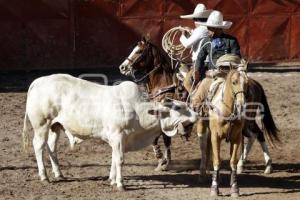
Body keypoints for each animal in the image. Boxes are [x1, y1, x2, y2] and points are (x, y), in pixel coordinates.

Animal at [22, 74, 197, 190]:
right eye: (178, 107)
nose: (196, 115)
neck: (138, 111)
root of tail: (38, 81)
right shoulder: (118, 136)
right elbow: (119, 160)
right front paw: (120, 184)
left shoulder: (117, 140)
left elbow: (113, 159)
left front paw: (111, 180)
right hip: (41, 125)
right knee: (39, 146)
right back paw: (44, 176)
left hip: (55, 126)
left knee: (51, 147)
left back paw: (59, 173)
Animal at [118, 38, 182, 171]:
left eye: (139, 51)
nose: (122, 67)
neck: (163, 84)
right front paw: (161, 159)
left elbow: (166, 139)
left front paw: (165, 162)